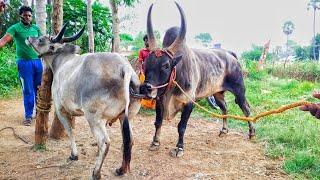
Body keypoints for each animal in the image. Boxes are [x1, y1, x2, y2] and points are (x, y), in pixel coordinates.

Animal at [26, 25, 142, 179]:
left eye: (40, 39)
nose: (28, 38)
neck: (61, 61)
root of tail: (125, 68)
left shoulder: (60, 109)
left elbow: (70, 131)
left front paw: (74, 155)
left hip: (93, 117)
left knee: (104, 142)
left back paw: (96, 172)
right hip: (125, 117)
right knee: (128, 140)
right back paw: (121, 169)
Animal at [140, 3, 255, 158]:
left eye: (166, 65)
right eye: (146, 63)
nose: (146, 88)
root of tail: (231, 55)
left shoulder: (189, 102)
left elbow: (181, 127)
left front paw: (179, 148)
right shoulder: (159, 100)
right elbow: (158, 122)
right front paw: (155, 142)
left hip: (240, 91)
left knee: (246, 109)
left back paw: (252, 133)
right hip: (217, 93)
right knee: (224, 107)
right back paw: (224, 130)